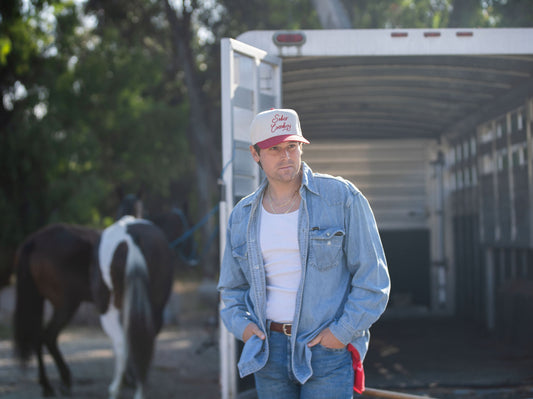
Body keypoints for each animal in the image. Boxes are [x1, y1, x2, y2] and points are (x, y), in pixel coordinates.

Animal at [12, 223, 100, 396]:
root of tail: (35, 240)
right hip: (67, 305)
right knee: (48, 337)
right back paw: (63, 381)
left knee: (39, 338)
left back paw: (47, 385)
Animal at [91, 216, 172, 399]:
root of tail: (132, 237)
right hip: (156, 308)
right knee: (145, 342)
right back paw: (139, 387)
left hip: (109, 311)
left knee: (122, 344)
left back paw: (116, 388)